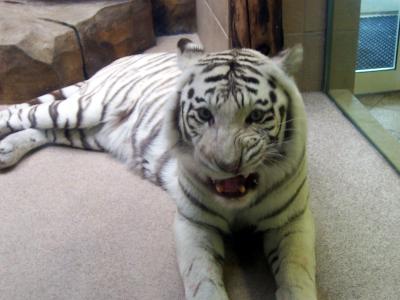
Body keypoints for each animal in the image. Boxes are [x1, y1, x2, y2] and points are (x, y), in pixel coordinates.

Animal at [0, 38, 316, 298]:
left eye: (256, 116)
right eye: (204, 114)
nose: (226, 165)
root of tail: (119, 59)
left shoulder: (292, 221)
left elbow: (298, 276)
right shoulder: (194, 222)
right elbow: (202, 280)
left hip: (88, 132)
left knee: (44, 131)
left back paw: (7, 151)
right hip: (83, 110)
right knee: (20, 112)